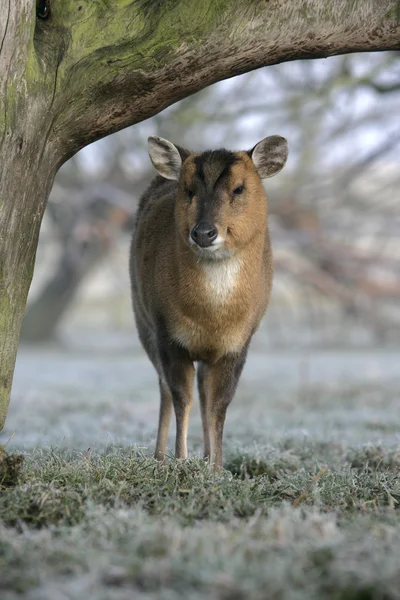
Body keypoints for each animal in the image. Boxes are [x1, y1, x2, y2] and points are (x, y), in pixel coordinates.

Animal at [130, 136, 290, 468]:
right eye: (189, 189)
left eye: (239, 188)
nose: (204, 232)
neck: (211, 319)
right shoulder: (167, 334)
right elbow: (182, 397)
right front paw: (180, 462)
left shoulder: (238, 343)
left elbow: (219, 405)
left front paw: (216, 468)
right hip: (141, 320)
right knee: (165, 388)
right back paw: (159, 457)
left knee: (203, 390)